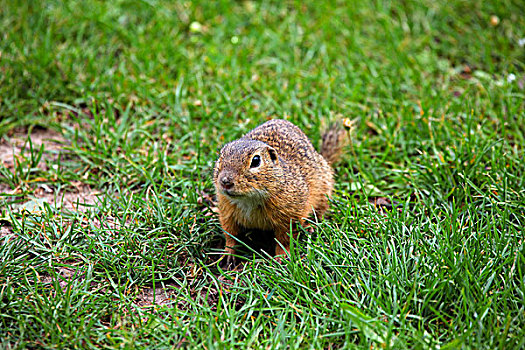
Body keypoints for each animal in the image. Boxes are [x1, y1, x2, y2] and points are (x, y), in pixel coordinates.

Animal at [211, 118, 346, 268]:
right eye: (220, 157)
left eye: (256, 161)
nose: (225, 181)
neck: (249, 200)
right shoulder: (227, 211)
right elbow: (230, 234)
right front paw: (227, 254)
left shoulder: (290, 215)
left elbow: (285, 239)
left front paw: (281, 258)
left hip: (323, 193)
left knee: (319, 214)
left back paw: (310, 226)